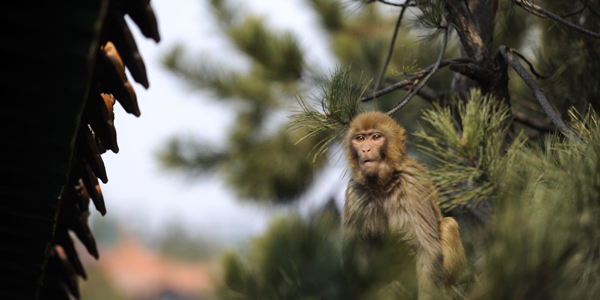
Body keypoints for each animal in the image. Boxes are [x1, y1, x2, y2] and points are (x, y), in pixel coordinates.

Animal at [342, 111, 468, 298]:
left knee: (448, 224)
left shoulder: (412, 182)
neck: (382, 184)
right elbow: (354, 255)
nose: (365, 149)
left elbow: (427, 250)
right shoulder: (355, 193)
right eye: (360, 138)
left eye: (376, 137)